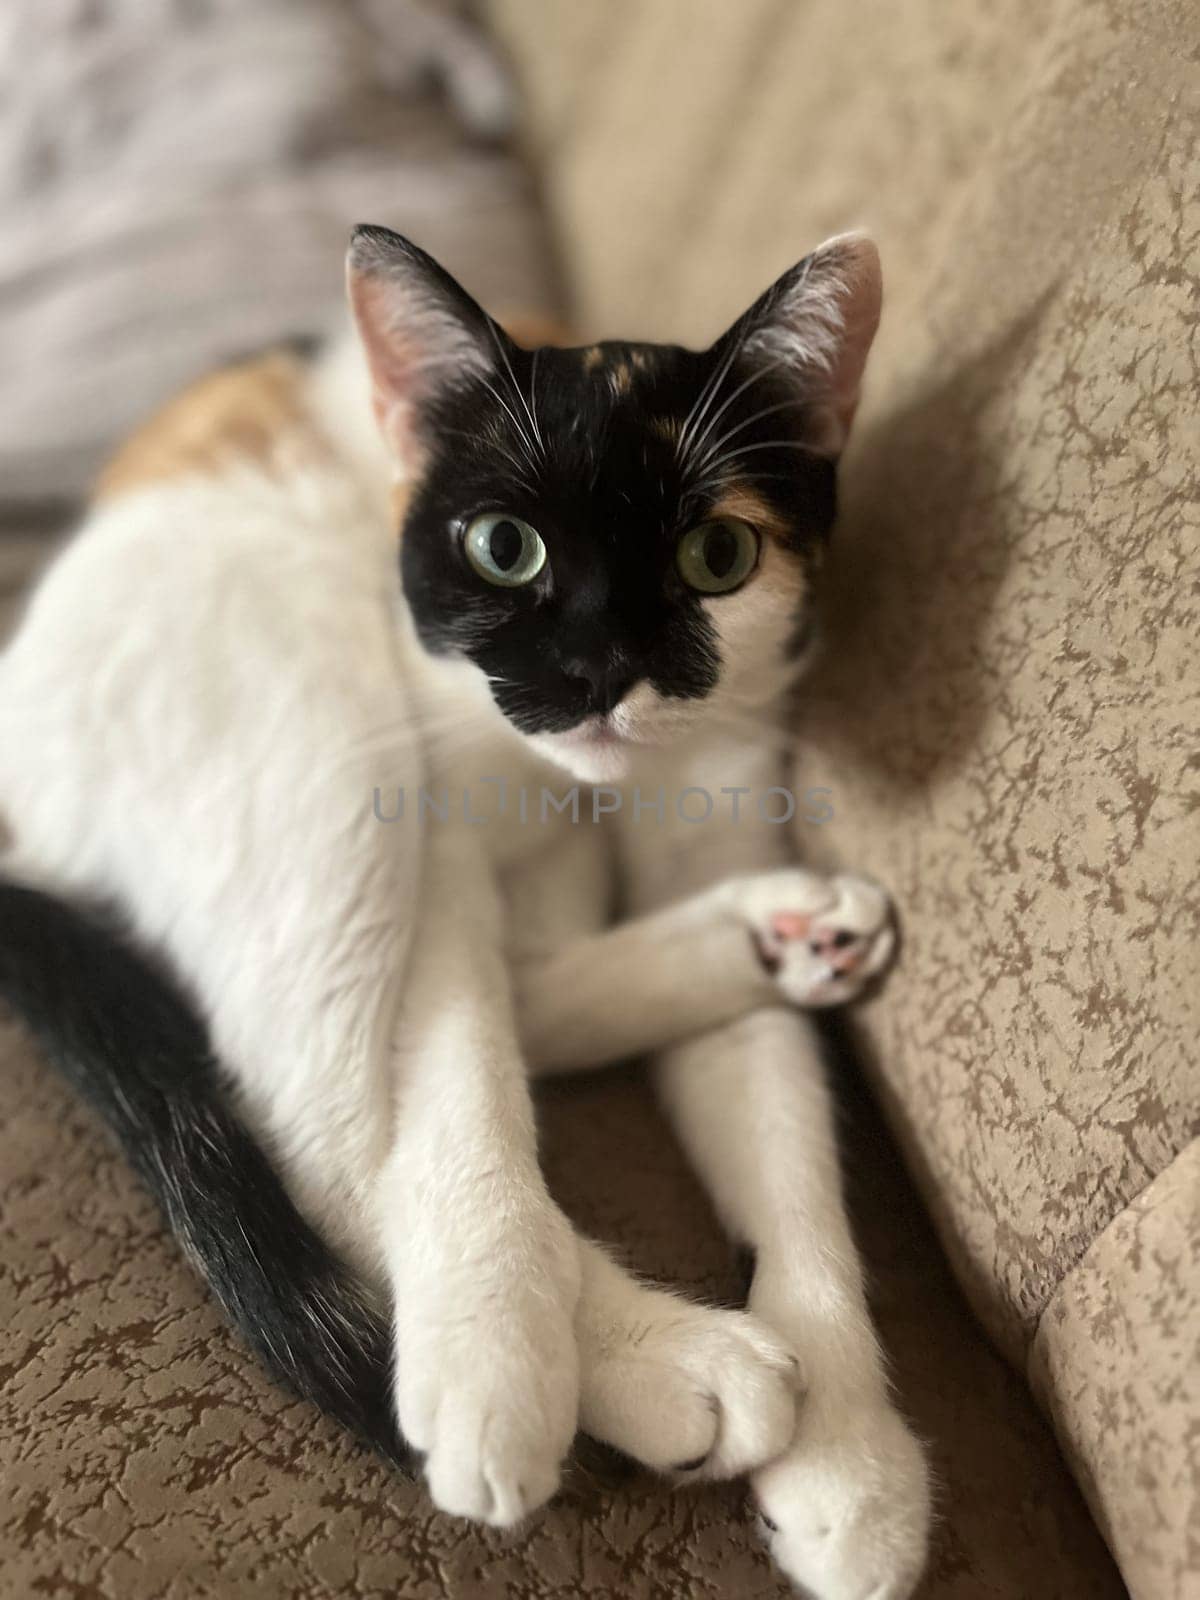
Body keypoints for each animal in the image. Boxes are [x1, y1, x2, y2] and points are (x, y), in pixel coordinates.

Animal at [0, 225, 928, 1600]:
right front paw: (497, 1357)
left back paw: (776, 937)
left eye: (720, 556)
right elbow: (460, 1080)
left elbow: (786, 1148)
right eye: (505, 548)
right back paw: (664, 1361)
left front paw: (854, 1463)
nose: (600, 672)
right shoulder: (428, 832)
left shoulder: (715, 797)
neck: (578, 794)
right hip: (315, 728)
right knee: (315, 1113)